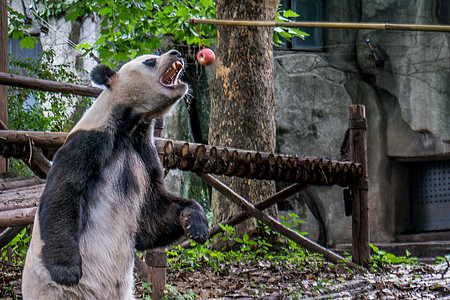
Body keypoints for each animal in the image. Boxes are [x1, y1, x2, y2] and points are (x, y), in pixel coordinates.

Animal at [22, 50, 210, 298]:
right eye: (150, 61)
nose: (176, 52)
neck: (130, 127)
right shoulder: (87, 142)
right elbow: (62, 194)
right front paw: (67, 271)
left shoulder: (145, 152)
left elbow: (153, 215)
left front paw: (194, 224)